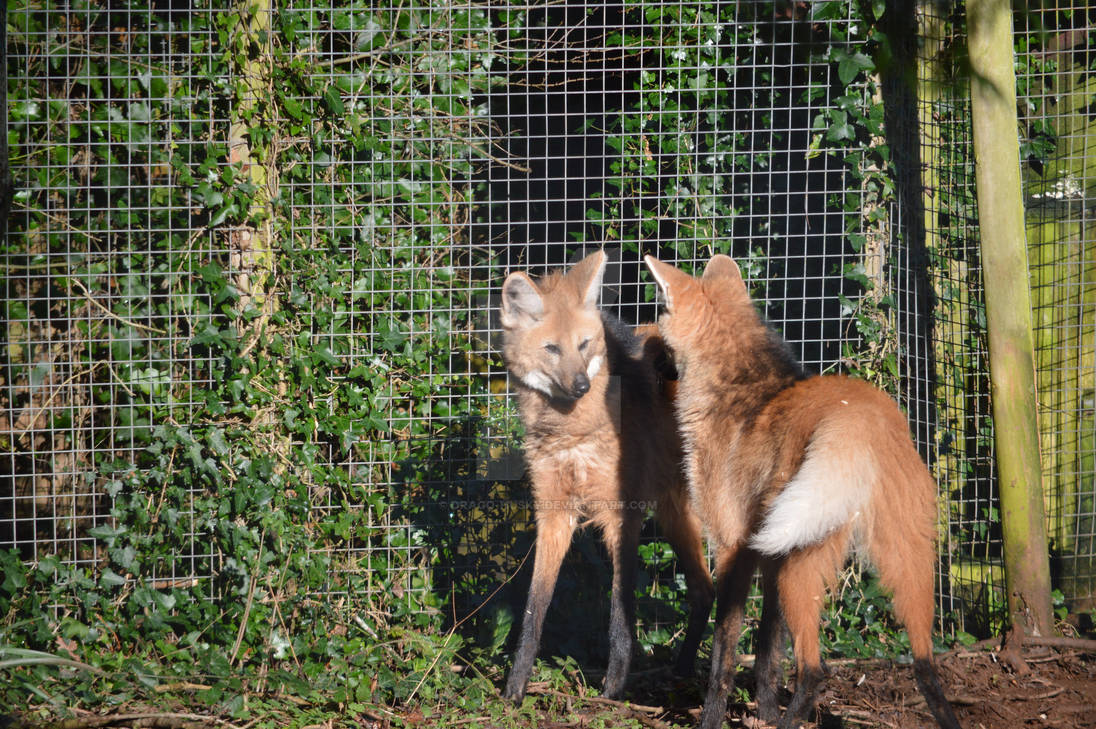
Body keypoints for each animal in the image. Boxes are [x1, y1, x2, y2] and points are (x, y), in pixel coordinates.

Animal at [498, 250, 715, 702]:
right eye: (551, 348)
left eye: (584, 344)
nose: (581, 384)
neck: (572, 431)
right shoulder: (554, 513)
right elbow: (533, 609)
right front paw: (515, 686)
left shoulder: (621, 516)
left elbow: (620, 613)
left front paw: (614, 688)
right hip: (673, 514)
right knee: (705, 591)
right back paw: (683, 669)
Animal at [644, 254, 961, 729]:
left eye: (661, 335)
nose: (655, 366)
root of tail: (860, 420)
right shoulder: (767, 554)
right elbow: (766, 655)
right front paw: (765, 711)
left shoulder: (735, 547)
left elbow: (724, 655)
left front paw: (715, 717)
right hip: (904, 554)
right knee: (925, 662)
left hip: (802, 560)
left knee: (814, 670)